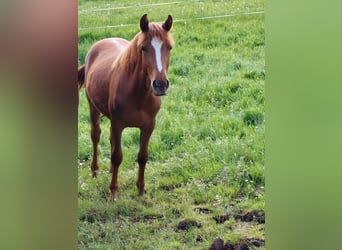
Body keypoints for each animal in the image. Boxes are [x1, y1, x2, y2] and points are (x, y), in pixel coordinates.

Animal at [78, 14, 174, 200]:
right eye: (143, 48)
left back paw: (109, 171)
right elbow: (117, 156)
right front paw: (113, 191)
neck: (138, 94)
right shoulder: (118, 124)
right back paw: (95, 171)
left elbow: (142, 156)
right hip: (93, 108)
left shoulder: (148, 126)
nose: (160, 84)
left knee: (110, 140)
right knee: (96, 136)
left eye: (169, 47)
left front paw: (141, 189)